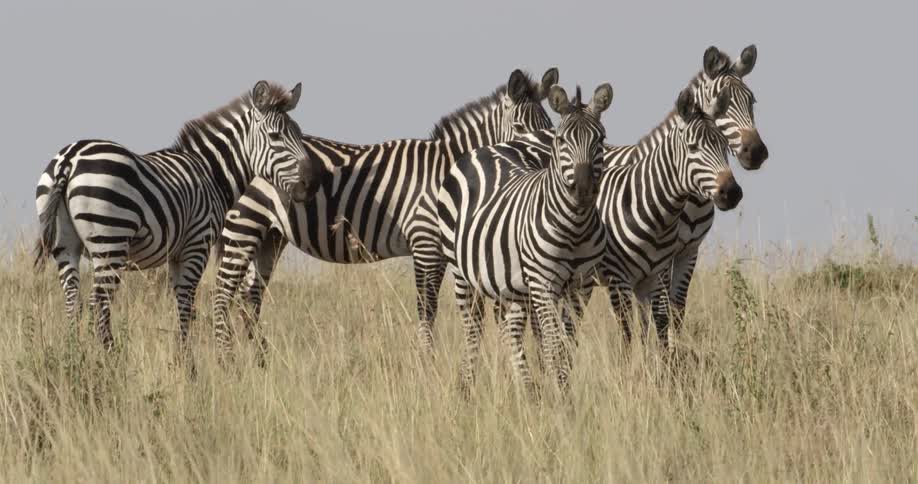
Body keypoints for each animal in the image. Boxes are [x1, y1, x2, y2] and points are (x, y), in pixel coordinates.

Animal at [34, 81, 322, 353]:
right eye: (275, 136)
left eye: (299, 135)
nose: (312, 184)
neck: (211, 172)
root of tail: (70, 158)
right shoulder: (197, 245)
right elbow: (186, 304)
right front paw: (187, 364)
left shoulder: (176, 253)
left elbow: (181, 305)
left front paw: (182, 359)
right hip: (110, 241)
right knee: (98, 306)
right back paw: (109, 361)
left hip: (66, 244)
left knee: (73, 302)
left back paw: (76, 359)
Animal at [210, 68, 559, 355]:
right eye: (520, 127)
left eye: (549, 125)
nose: (545, 165)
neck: (451, 173)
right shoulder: (426, 244)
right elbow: (427, 308)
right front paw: (427, 363)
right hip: (243, 227)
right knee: (222, 295)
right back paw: (228, 362)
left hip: (270, 235)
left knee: (250, 298)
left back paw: (262, 362)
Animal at [437, 83, 613, 397]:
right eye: (562, 140)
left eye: (600, 139)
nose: (582, 190)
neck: (575, 227)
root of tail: (488, 147)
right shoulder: (544, 283)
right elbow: (554, 344)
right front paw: (560, 396)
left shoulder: (582, 286)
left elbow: (568, 344)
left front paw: (562, 391)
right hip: (461, 272)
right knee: (473, 327)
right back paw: (467, 388)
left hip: (513, 285)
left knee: (512, 331)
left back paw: (527, 390)